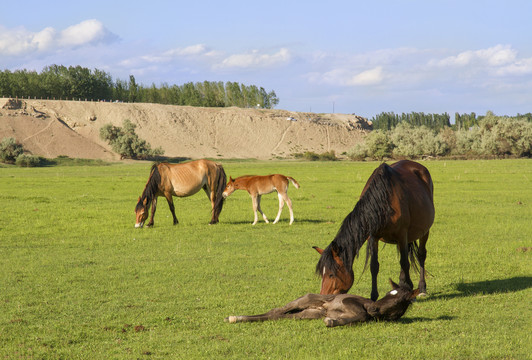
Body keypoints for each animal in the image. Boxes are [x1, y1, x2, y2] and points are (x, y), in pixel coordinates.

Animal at [316, 160, 432, 300]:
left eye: (331, 274)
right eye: (322, 274)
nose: (322, 296)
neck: (383, 201)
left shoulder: (402, 235)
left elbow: (404, 263)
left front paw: (408, 290)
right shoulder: (373, 237)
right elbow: (374, 266)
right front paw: (374, 296)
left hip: (424, 231)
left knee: (421, 255)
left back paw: (422, 288)